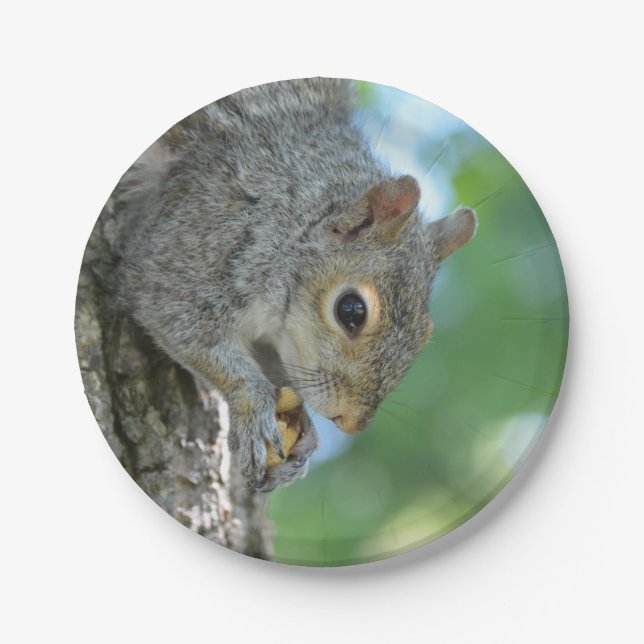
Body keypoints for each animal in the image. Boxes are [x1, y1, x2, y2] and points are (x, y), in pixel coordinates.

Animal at [112, 78, 477, 492]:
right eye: (351, 310)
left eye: (425, 335)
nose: (352, 423)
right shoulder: (194, 240)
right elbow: (176, 319)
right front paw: (253, 407)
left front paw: (303, 430)